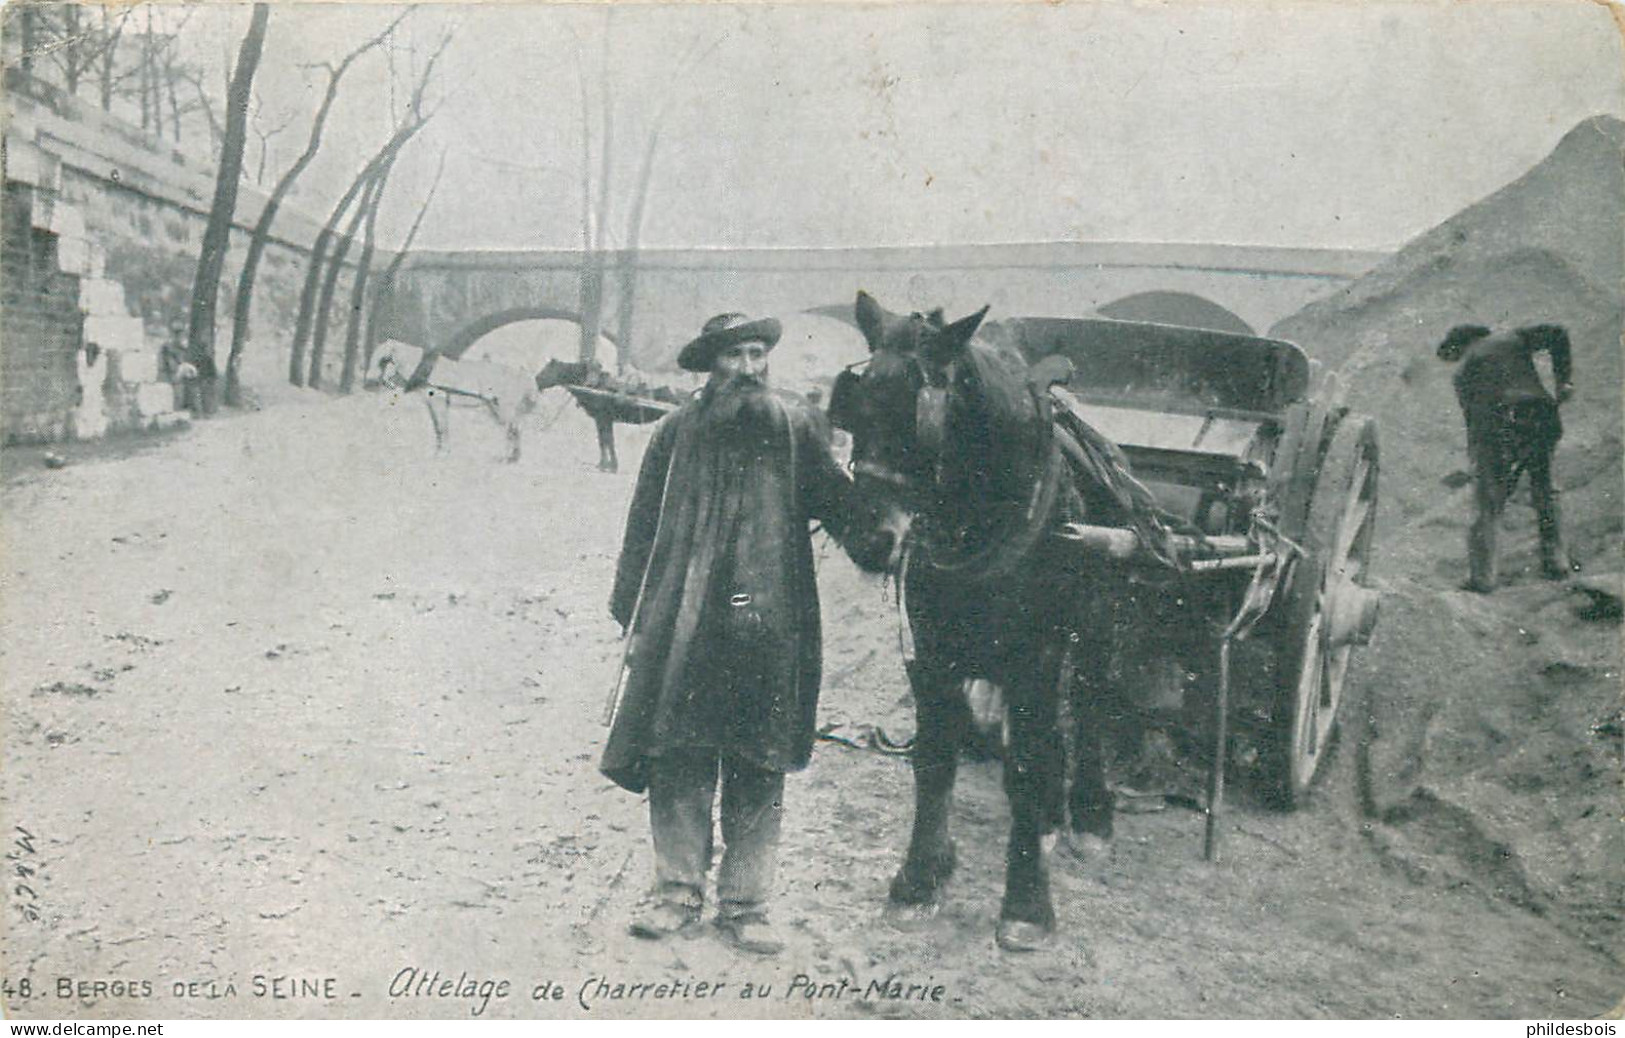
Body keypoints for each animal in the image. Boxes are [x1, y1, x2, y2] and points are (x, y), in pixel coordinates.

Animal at [825, 290, 1144, 948]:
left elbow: (1026, 765)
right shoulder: (932, 651)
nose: (869, 539)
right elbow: (934, 759)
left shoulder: (1036, 655)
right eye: (856, 403)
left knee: (1090, 703)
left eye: (920, 417)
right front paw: (921, 877)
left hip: (1097, 626)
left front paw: (1027, 903)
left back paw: (1088, 815)